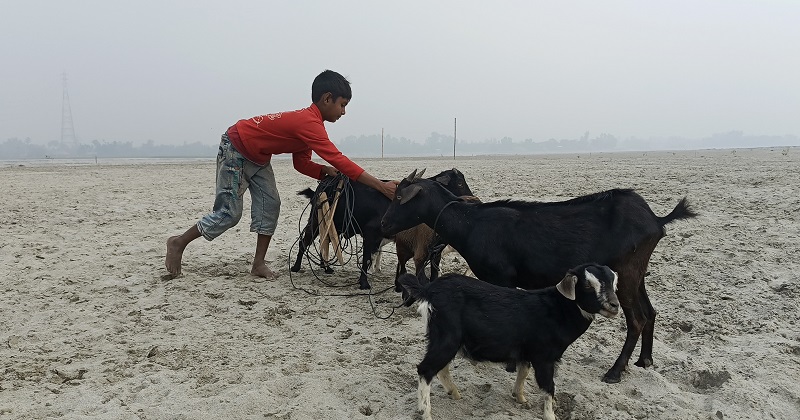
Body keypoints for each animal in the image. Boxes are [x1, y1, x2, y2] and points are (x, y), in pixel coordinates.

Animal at [290, 169, 472, 290]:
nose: (469, 200)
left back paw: (326, 267)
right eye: (460, 183)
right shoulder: (371, 235)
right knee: (304, 242)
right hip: (315, 220)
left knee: (325, 241)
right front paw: (364, 283)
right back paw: (296, 267)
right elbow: (366, 259)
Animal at [378, 169, 696, 382]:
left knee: (638, 319)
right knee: (650, 312)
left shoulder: (500, 277)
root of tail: (656, 219)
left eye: (399, 196)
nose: (384, 224)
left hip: (628, 273)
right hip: (637, 272)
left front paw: (507, 364)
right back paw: (645, 360)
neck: (470, 223)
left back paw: (615, 371)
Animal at [398, 262, 620, 420]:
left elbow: (523, 372)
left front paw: (520, 398)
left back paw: (454, 393)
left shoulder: (526, 352)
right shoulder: (544, 357)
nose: (614, 305)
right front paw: (550, 415)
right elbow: (549, 387)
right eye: (587, 284)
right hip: (447, 336)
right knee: (426, 369)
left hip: (444, 339)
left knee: (441, 368)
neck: (559, 310)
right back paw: (426, 413)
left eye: (613, 284)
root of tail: (428, 291)